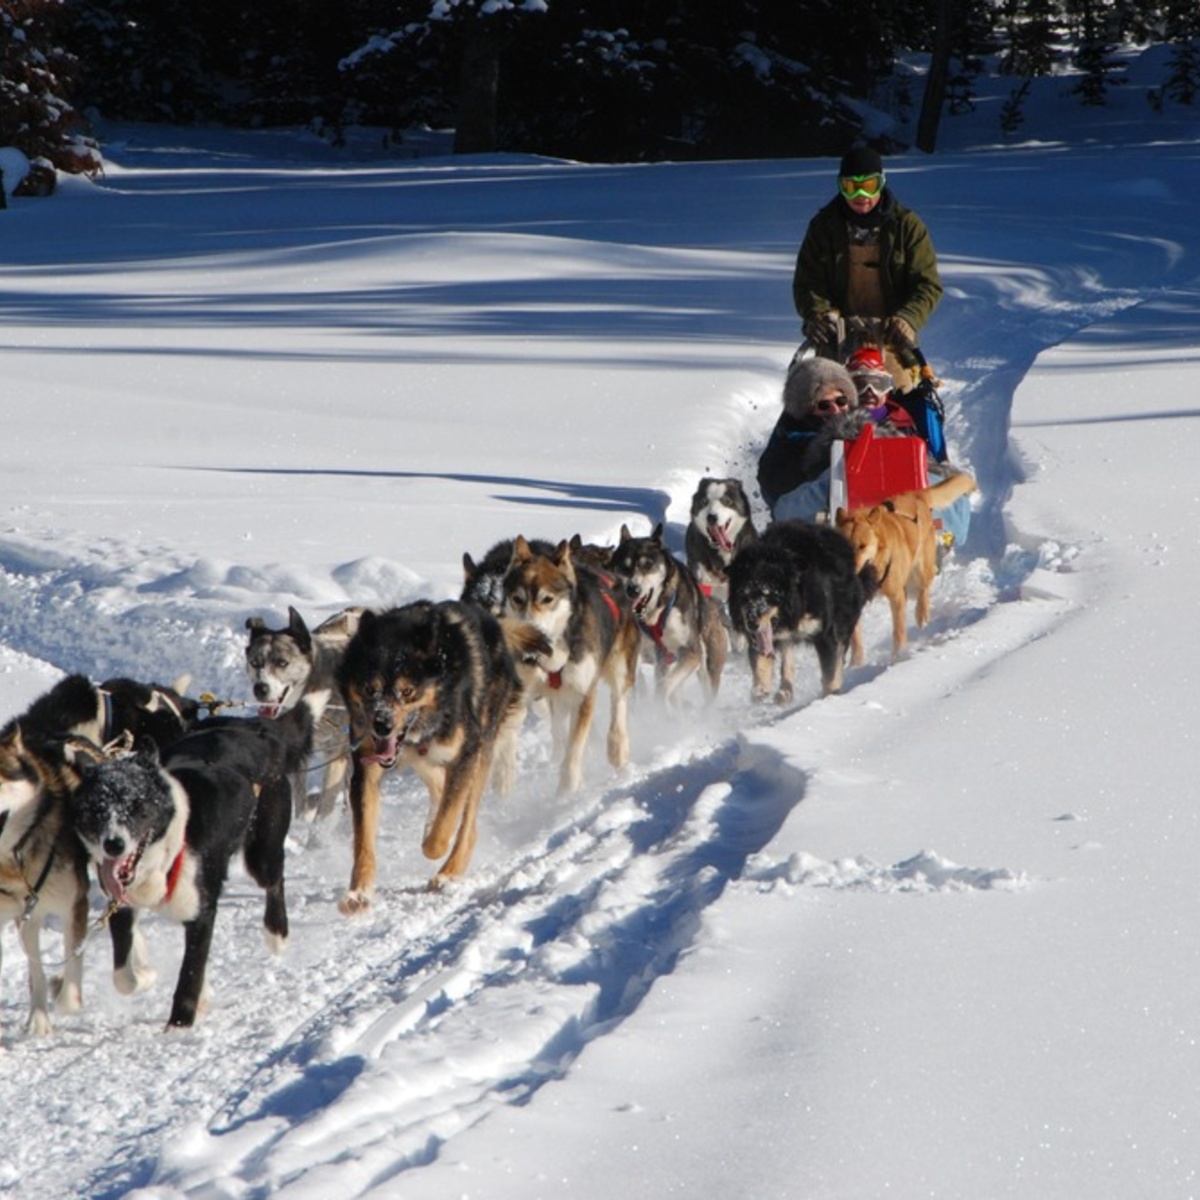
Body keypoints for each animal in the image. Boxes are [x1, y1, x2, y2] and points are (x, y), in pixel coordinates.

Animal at [72, 691, 326, 1027]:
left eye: (137, 805)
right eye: (96, 809)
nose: (113, 844)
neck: (165, 850)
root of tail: (258, 729)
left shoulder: (201, 911)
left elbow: (190, 973)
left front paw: (179, 1025)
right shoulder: (122, 904)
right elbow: (124, 974)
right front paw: (147, 974)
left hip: (262, 852)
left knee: (274, 880)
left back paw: (276, 933)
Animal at [241, 604, 357, 820]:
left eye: (282, 662)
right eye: (255, 663)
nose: (260, 688)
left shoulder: (336, 757)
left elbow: (323, 808)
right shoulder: (301, 758)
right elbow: (301, 802)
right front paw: (302, 818)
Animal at [604, 523, 724, 700]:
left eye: (648, 565)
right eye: (625, 567)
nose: (633, 590)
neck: (654, 614)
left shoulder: (690, 652)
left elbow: (664, 685)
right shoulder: (636, 653)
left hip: (706, 666)